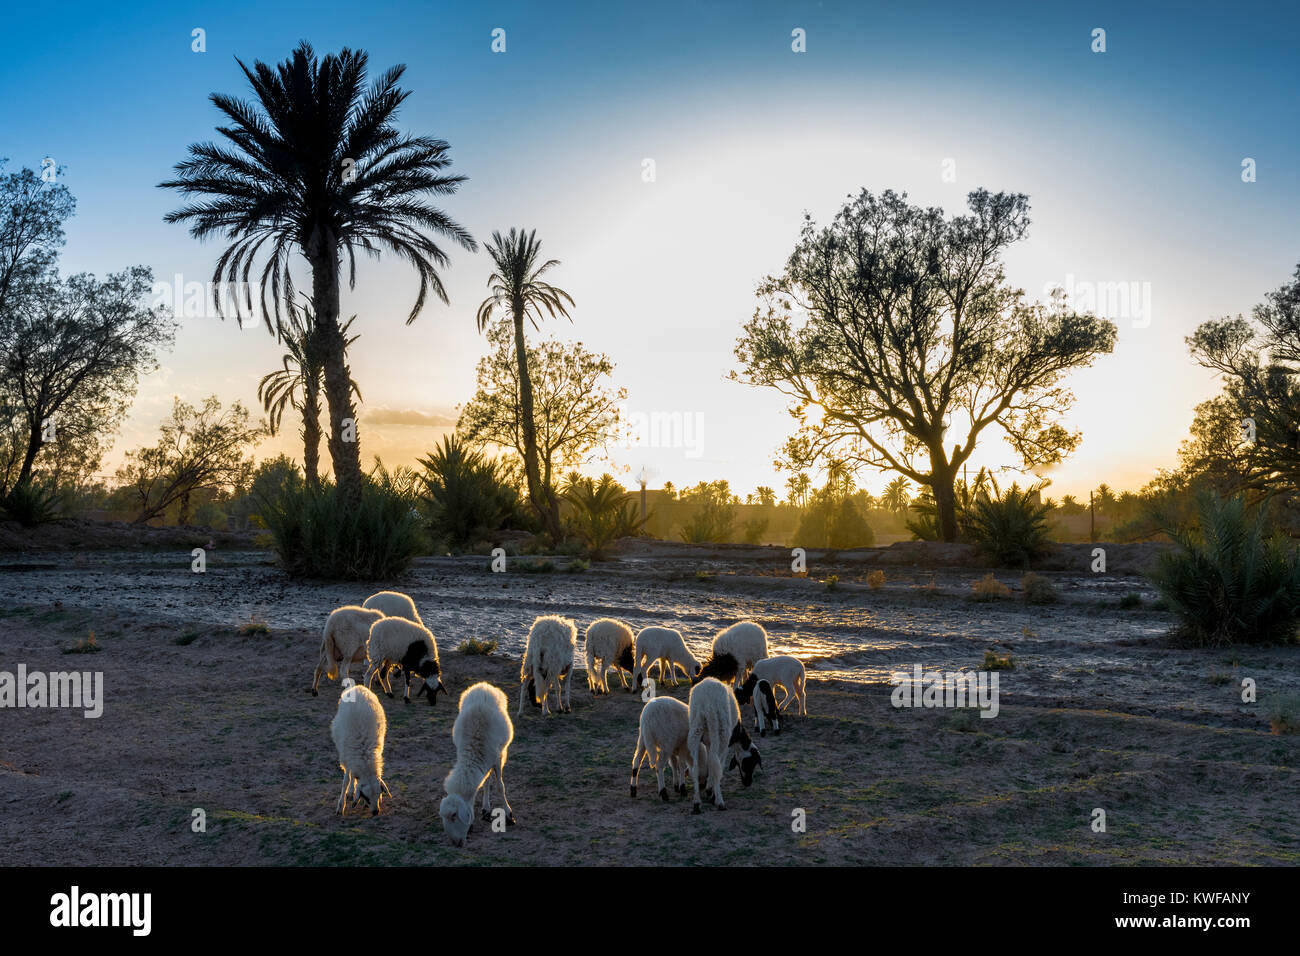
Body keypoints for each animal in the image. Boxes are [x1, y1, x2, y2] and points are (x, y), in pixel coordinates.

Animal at [329, 679, 390, 816]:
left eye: (379, 794)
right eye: (365, 796)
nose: (375, 812)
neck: (364, 758)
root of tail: (358, 687)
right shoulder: (347, 758)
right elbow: (346, 781)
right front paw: (341, 805)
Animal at [440, 682, 515, 846]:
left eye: (454, 815)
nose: (456, 843)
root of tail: (483, 685)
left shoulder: (497, 758)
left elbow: (500, 787)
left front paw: (509, 814)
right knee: (486, 779)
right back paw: (486, 809)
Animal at [687, 677, 761, 814]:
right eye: (750, 763)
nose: (748, 783)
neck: (738, 732)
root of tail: (706, 702)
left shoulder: (708, 743)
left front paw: (709, 789)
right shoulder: (726, 745)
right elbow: (718, 766)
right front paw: (711, 792)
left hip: (696, 728)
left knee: (695, 768)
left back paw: (697, 803)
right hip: (720, 730)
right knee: (716, 765)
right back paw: (720, 802)